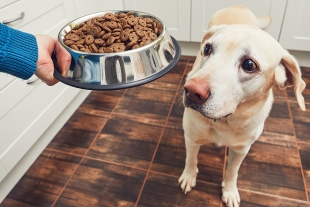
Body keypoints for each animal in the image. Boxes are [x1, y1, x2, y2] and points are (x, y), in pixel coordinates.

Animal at [178, 5, 306, 207]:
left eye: (249, 64)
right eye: (207, 48)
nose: (191, 91)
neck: (224, 121)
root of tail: (238, 6)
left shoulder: (241, 150)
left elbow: (232, 172)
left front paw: (229, 192)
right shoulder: (192, 138)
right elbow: (191, 160)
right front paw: (189, 177)